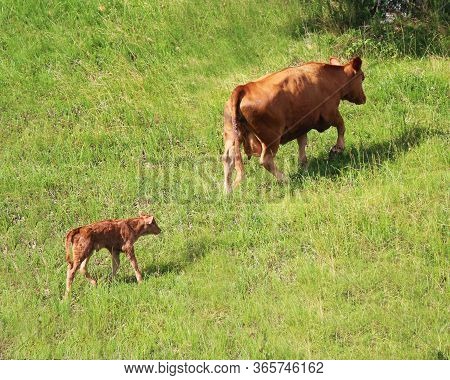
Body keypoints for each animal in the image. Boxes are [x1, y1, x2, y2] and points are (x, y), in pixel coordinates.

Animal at [221, 56, 366, 193]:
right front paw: (338, 148)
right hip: (270, 137)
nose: (364, 98)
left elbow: (302, 142)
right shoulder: (330, 112)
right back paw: (284, 179)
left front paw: (303, 165)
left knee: (228, 158)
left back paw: (227, 191)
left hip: (231, 135)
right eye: (362, 78)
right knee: (266, 160)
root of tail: (243, 88)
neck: (331, 78)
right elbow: (341, 125)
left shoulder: (301, 124)